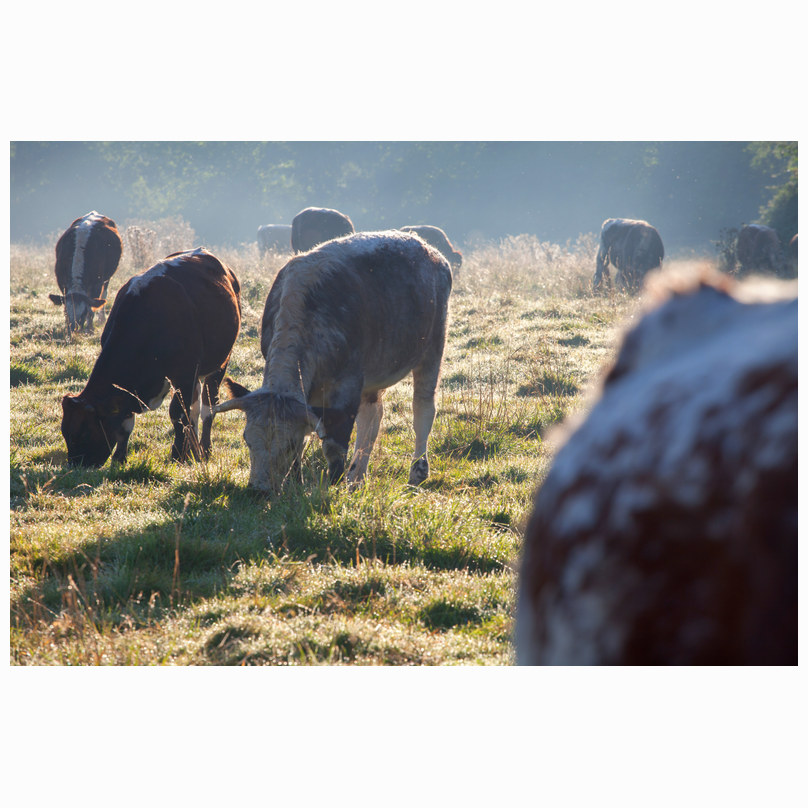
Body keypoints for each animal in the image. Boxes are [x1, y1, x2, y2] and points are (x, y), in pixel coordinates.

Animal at [60, 247, 241, 467]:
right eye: (65, 433)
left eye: (84, 433)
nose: (76, 465)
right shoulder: (129, 390)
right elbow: (127, 421)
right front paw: (120, 458)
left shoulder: (184, 375)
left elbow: (178, 414)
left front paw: (177, 455)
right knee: (195, 409)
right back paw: (194, 451)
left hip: (219, 365)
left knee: (208, 407)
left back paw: (205, 450)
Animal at [214, 231, 452, 493]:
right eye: (246, 439)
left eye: (287, 444)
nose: (259, 490)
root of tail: (429, 249)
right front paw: (296, 481)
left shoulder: (347, 387)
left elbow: (333, 446)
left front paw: (333, 486)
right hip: (373, 375)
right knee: (372, 417)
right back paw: (357, 478)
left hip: (432, 348)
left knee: (423, 408)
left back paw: (416, 473)